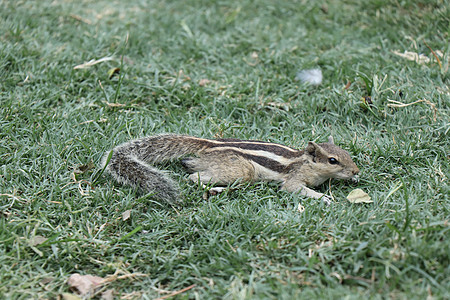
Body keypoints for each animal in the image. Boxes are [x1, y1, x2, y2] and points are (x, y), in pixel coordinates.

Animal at [102, 135, 358, 205]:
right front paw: (325, 198)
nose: (356, 172)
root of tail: (209, 144)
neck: (305, 162)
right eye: (333, 160)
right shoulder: (293, 180)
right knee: (193, 177)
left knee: (190, 165)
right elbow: (294, 188)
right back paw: (215, 189)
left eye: (347, 154)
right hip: (241, 171)